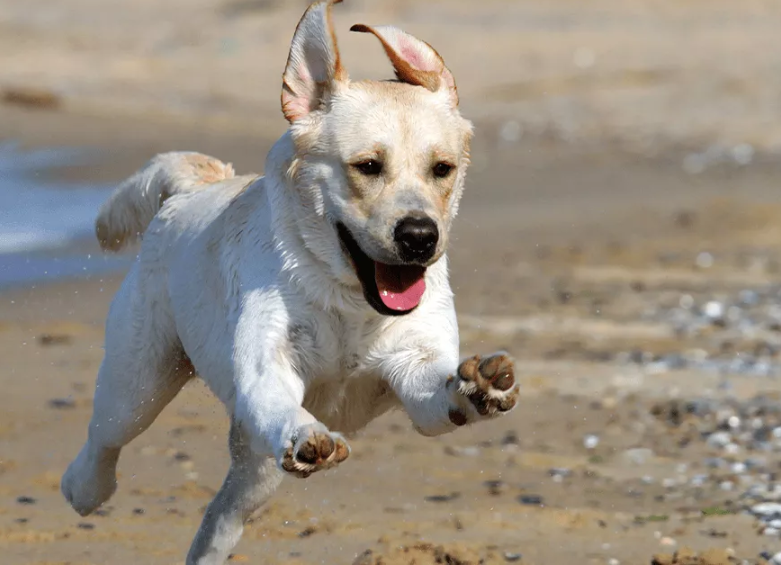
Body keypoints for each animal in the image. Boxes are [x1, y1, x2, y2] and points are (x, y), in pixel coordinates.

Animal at [61, 2, 516, 560]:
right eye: (368, 166)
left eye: (442, 169)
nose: (419, 236)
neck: (350, 302)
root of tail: (195, 187)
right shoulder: (265, 371)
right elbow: (283, 406)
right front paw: (307, 437)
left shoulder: (415, 368)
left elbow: (442, 392)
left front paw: (480, 388)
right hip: (139, 382)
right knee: (104, 439)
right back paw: (83, 489)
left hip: (254, 469)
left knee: (221, 516)